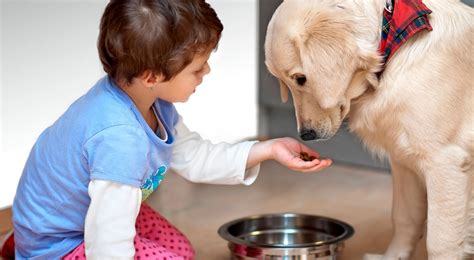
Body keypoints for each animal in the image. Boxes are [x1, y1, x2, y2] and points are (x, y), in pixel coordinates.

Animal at [264, 0, 472, 258]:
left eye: (301, 78)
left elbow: (440, 241)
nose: (306, 135)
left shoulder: (445, 163)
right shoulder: (404, 161)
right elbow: (404, 218)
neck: (393, 43)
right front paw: (394, 256)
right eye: (285, 82)